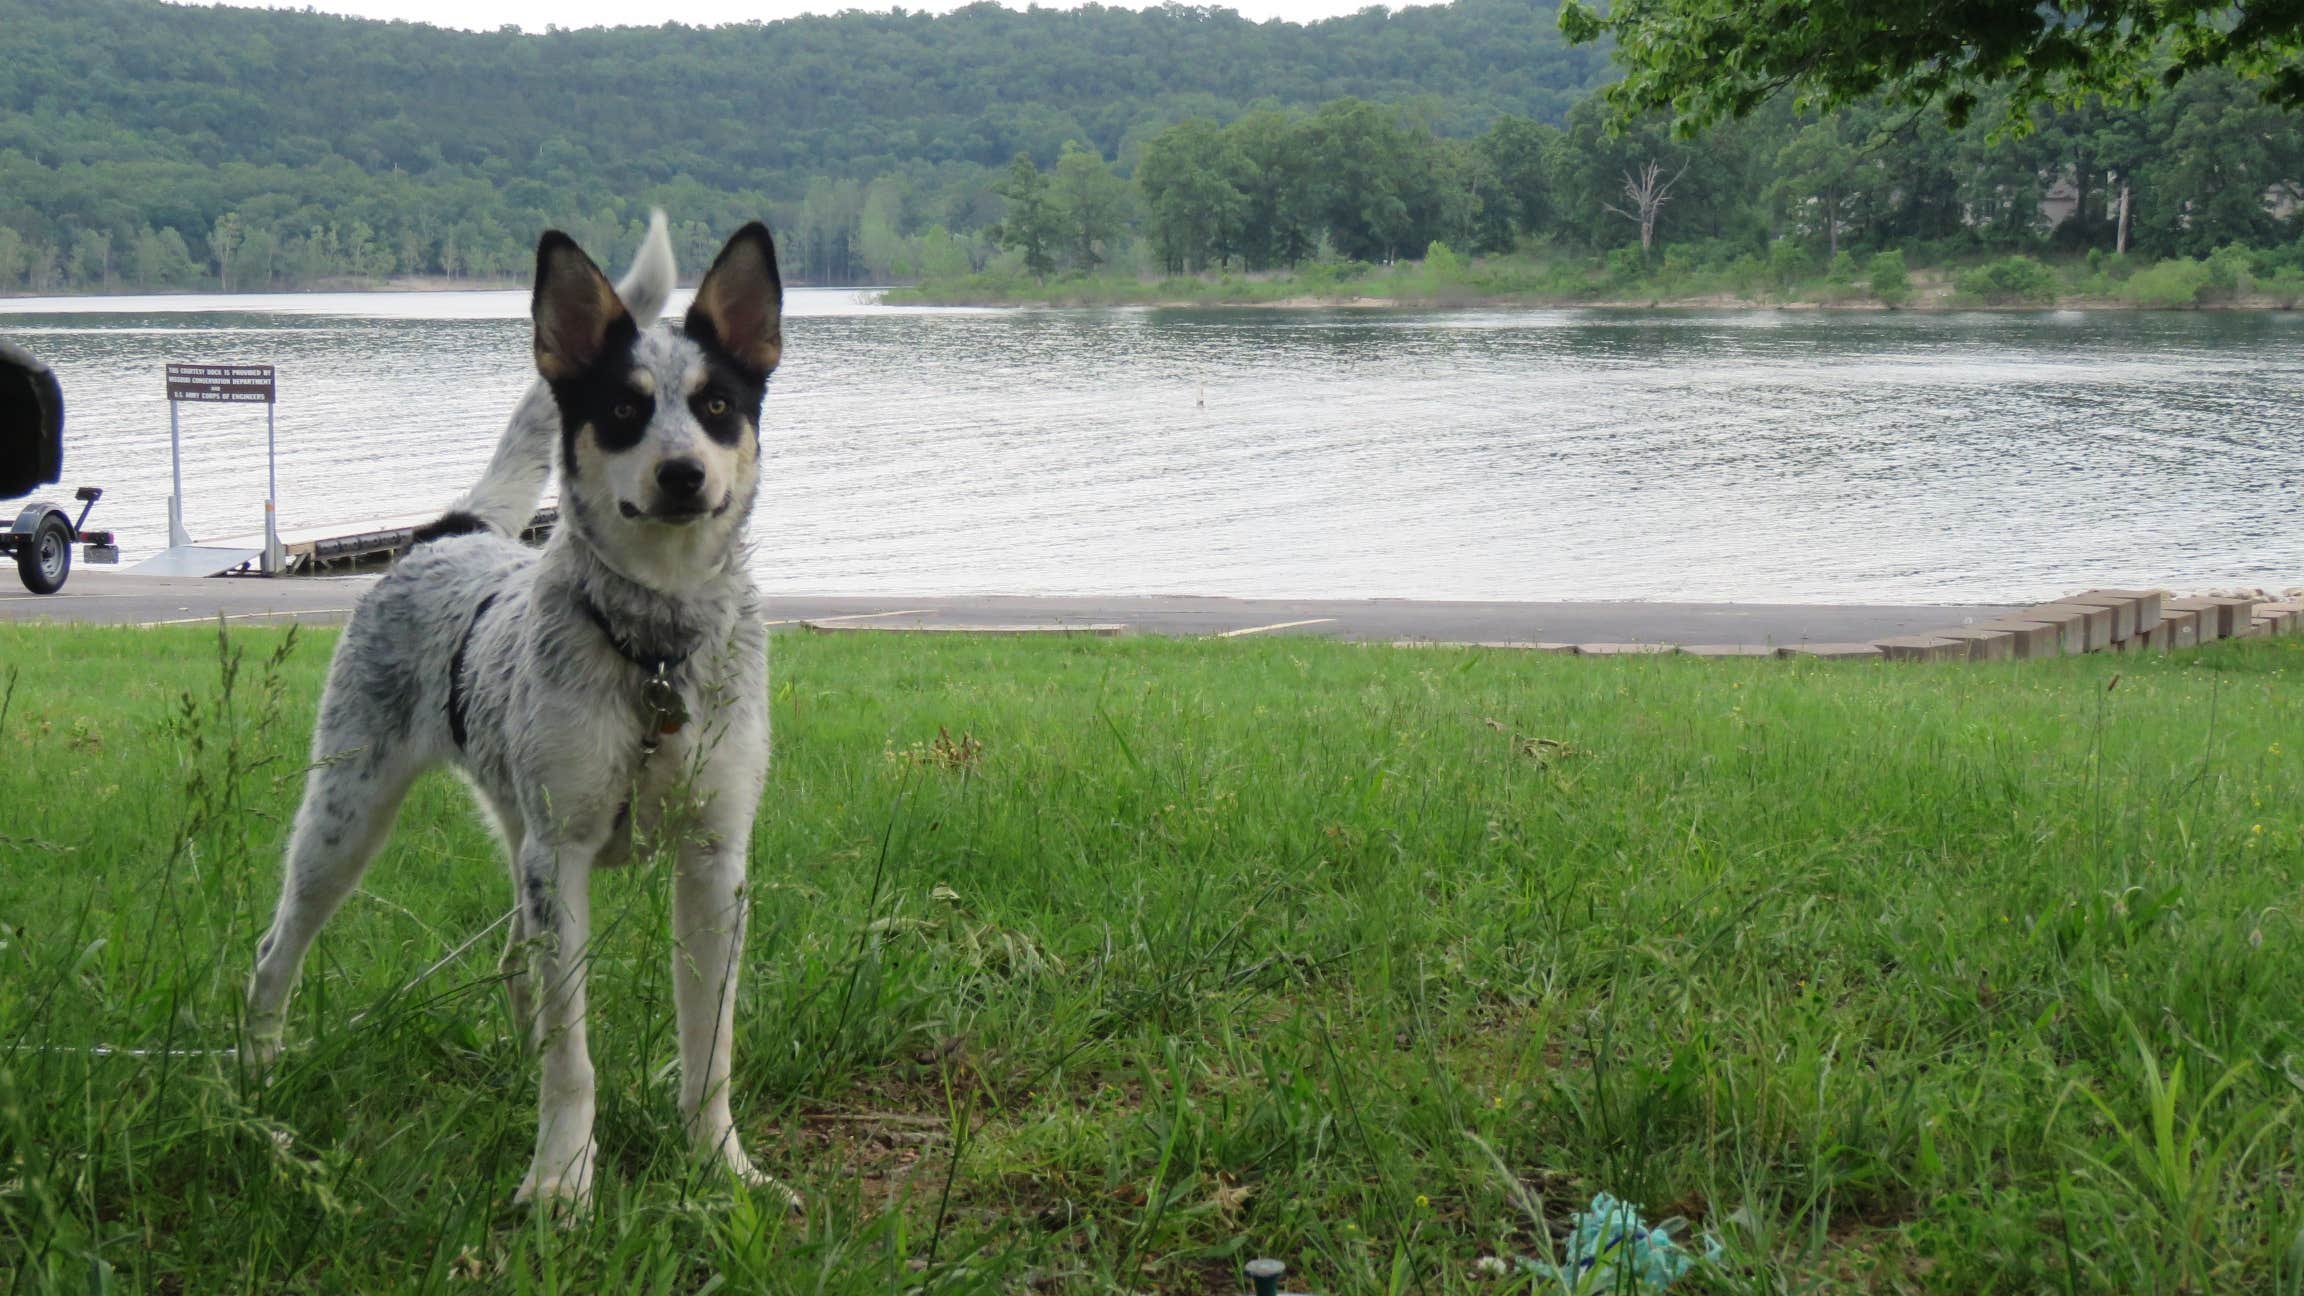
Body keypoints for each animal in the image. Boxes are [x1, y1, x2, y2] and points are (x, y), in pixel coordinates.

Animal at [247, 214, 792, 1208]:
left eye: (717, 405)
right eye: (621, 410)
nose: (683, 473)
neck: (655, 650)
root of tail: (449, 534)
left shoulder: (714, 862)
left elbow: (710, 1046)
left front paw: (722, 1167)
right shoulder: (562, 857)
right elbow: (573, 1058)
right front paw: (562, 1181)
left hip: (508, 837)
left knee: (512, 963)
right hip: (347, 821)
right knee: (276, 951)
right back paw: (256, 1082)